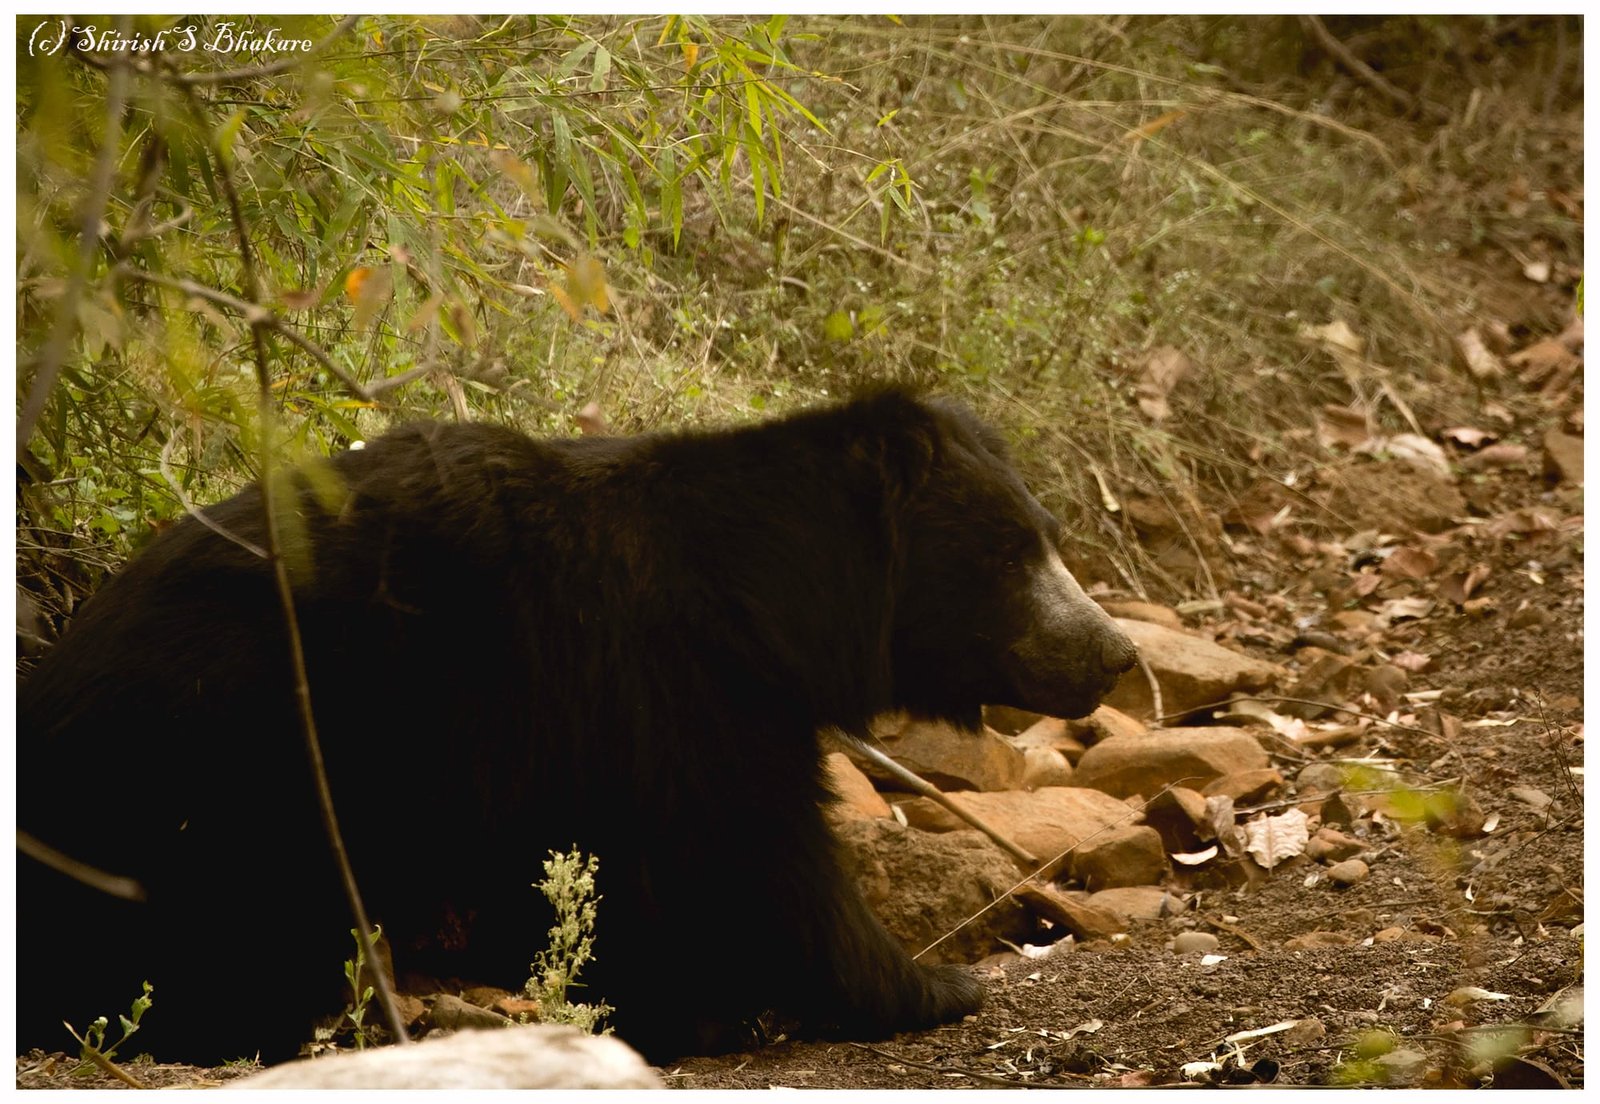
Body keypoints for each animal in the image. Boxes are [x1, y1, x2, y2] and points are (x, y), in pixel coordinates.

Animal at [16, 388, 1136, 1065]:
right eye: (1009, 556)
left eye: (1047, 539)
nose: (1114, 653)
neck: (769, 600)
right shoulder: (668, 678)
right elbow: (755, 850)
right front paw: (933, 983)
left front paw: (676, 1013)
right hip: (220, 755)